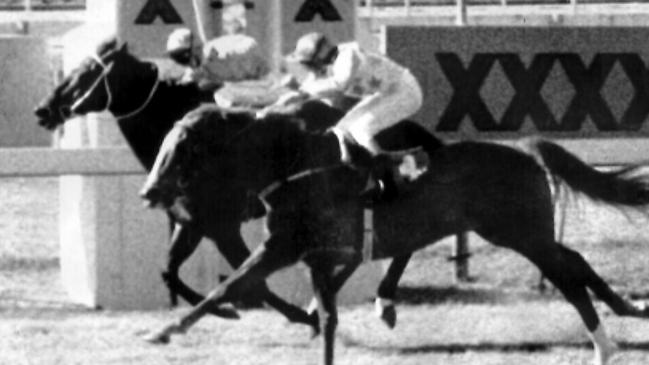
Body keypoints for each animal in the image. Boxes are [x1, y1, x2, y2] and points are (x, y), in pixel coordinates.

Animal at [31, 37, 416, 330]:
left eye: (87, 72)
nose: (42, 109)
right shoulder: (192, 222)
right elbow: (168, 270)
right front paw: (224, 310)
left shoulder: (221, 225)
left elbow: (252, 280)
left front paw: (294, 315)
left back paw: (380, 301)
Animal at [140, 106, 648, 364]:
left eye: (180, 146)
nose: (150, 191)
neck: (295, 165)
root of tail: (525, 150)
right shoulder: (314, 255)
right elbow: (323, 313)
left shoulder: (280, 246)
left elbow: (229, 286)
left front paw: (165, 331)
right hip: (522, 232)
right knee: (575, 261)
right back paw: (627, 312)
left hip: (519, 233)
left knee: (567, 276)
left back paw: (605, 345)